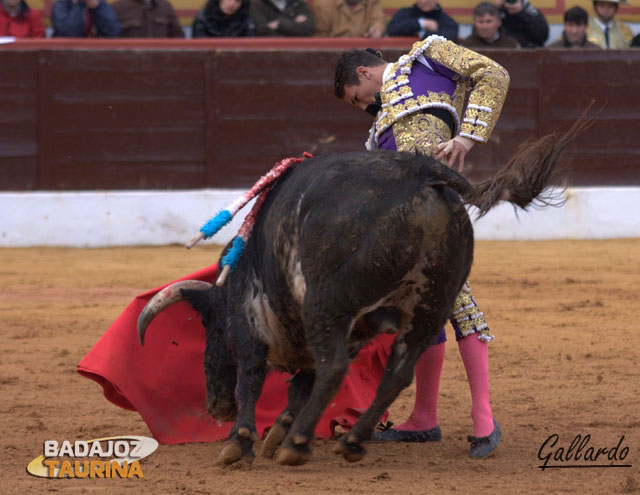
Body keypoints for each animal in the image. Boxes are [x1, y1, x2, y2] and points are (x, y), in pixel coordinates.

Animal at [138, 121, 588, 468]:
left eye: (213, 330)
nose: (216, 407)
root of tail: (420, 173)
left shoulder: (253, 321)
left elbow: (254, 377)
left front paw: (241, 443)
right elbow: (301, 387)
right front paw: (276, 434)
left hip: (328, 303)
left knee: (337, 368)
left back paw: (299, 447)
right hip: (429, 305)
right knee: (400, 371)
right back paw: (351, 440)